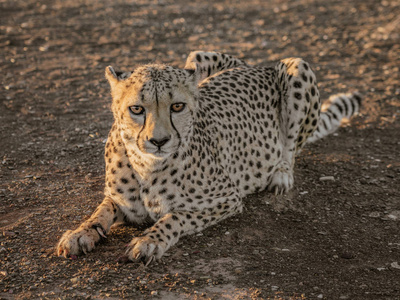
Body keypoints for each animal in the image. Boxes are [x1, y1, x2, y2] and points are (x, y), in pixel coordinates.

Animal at [57, 51, 362, 264]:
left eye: (177, 106)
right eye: (137, 109)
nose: (159, 141)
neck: (146, 165)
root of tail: (253, 66)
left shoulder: (228, 199)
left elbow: (175, 217)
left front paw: (149, 240)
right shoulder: (122, 202)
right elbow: (101, 211)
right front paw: (80, 232)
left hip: (297, 66)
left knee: (290, 148)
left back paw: (281, 175)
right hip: (196, 57)